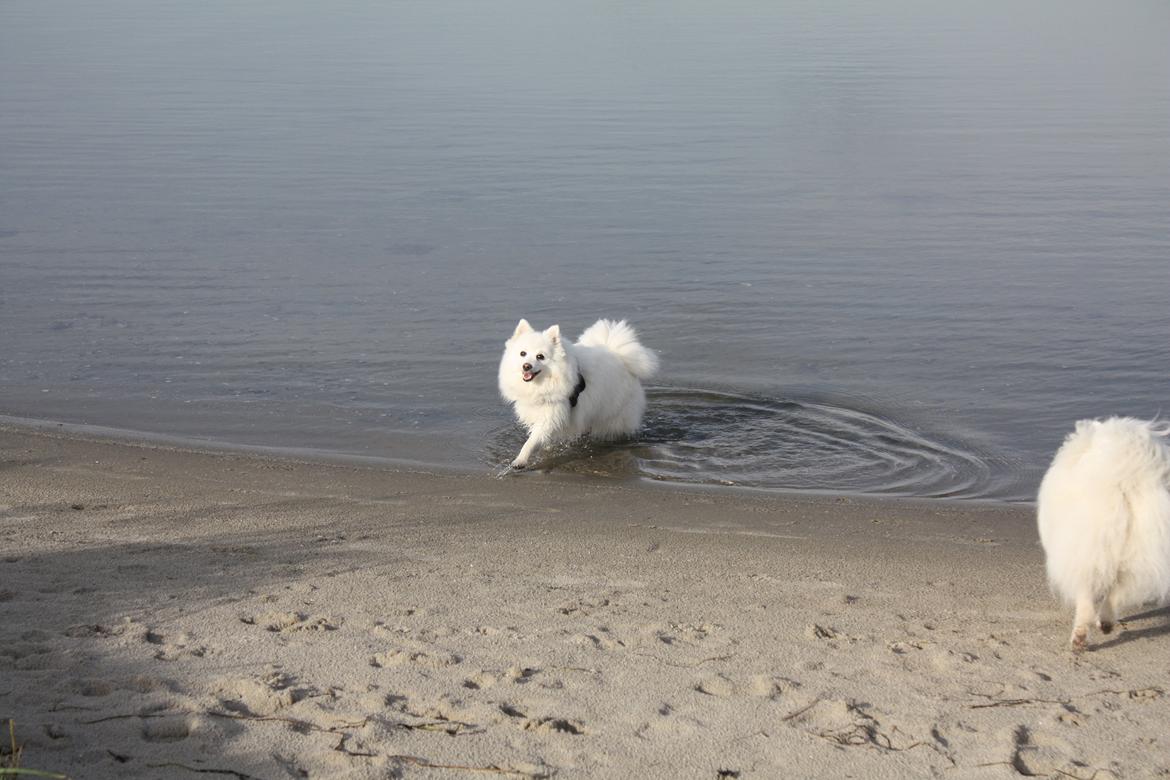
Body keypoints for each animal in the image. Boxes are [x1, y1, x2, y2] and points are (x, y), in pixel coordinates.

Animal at [493, 318, 659, 470]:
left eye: (540, 356)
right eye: (522, 353)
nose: (526, 366)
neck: (542, 384)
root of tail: (620, 357)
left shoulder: (550, 414)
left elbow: (531, 441)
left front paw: (520, 461)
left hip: (616, 416)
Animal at [1038, 418, 1170, 650]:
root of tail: (1123, 486)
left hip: (1086, 550)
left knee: (1085, 596)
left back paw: (1080, 636)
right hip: (1138, 553)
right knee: (1117, 591)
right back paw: (1106, 623)